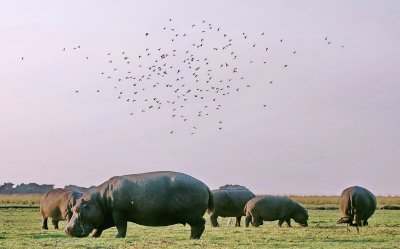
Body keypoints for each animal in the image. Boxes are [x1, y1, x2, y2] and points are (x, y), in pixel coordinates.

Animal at [65, 171, 216, 239]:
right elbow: (100, 227)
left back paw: (193, 238)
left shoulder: (118, 214)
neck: (100, 200)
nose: (66, 229)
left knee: (200, 224)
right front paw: (94, 236)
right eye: (73, 208)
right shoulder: (106, 216)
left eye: (77, 209)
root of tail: (205, 185)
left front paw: (117, 237)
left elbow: (121, 226)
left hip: (193, 215)